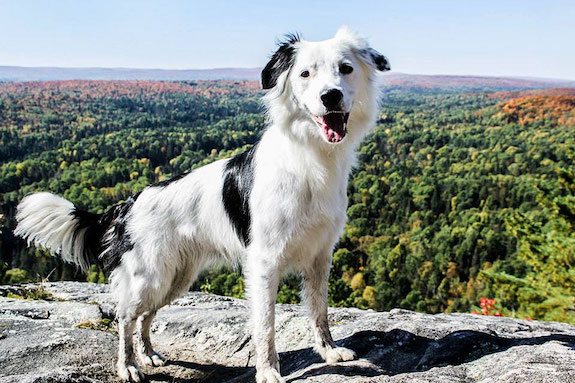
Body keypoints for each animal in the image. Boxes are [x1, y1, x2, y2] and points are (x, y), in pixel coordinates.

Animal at [14, 25, 392, 382]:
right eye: (305, 74)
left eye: (345, 69)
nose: (331, 96)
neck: (309, 157)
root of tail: (127, 205)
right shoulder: (264, 261)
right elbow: (265, 324)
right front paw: (268, 371)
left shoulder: (319, 256)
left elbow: (319, 310)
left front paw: (328, 351)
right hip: (149, 276)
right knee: (125, 317)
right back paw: (129, 366)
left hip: (175, 278)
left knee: (145, 316)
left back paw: (149, 355)